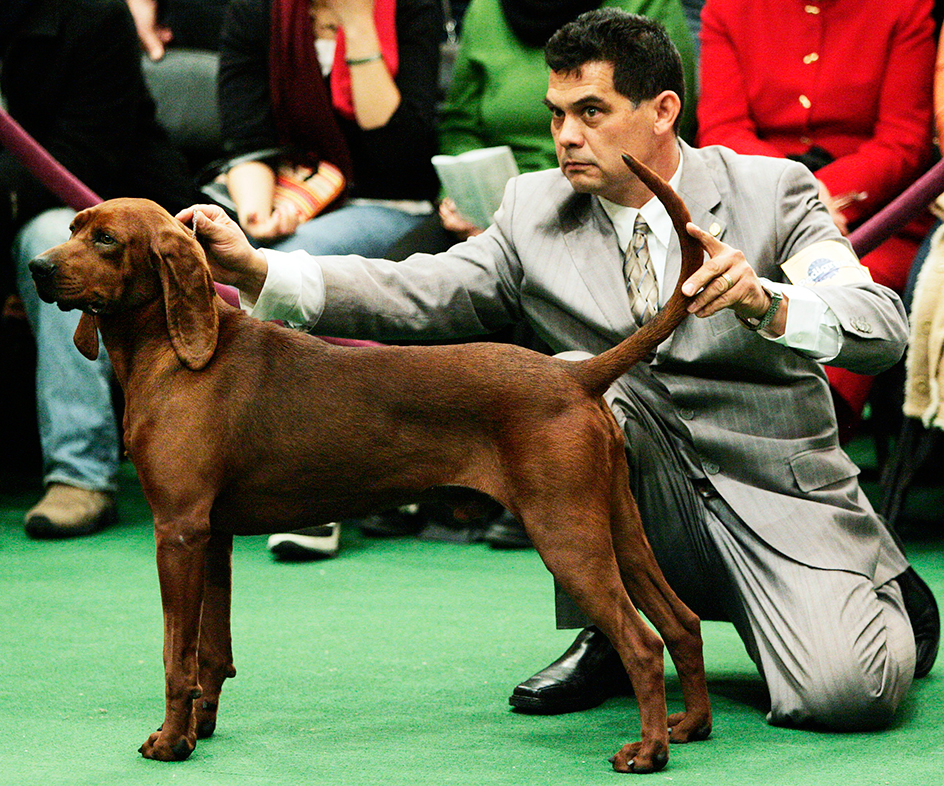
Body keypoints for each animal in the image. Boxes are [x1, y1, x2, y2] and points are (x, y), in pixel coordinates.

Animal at [27, 155, 708, 772]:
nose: (36, 267)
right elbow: (211, 653)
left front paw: (171, 743)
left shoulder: (177, 531)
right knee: (682, 620)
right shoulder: (211, 535)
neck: (173, 353)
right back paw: (691, 726)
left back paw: (649, 752)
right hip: (618, 525)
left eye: (107, 239)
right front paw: (200, 730)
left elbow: (176, 655)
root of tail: (576, 375)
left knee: (642, 642)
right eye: (73, 227)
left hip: (565, 534)